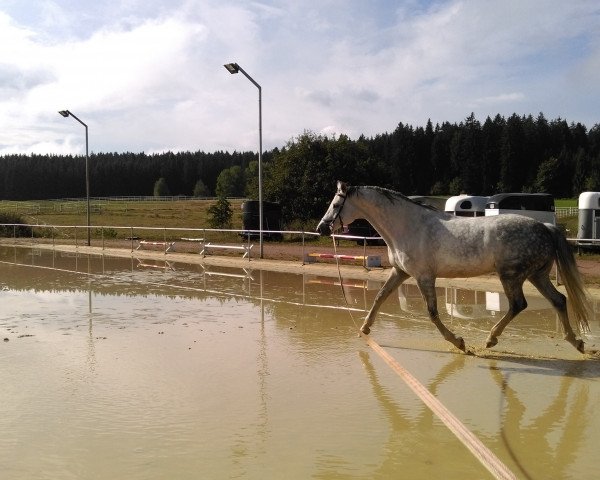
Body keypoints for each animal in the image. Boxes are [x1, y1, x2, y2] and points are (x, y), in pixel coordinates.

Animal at [316, 182, 588, 354]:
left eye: (336, 204)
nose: (321, 228)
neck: (408, 226)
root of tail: (545, 227)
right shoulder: (400, 272)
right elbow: (380, 297)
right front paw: (365, 328)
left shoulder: (424, 277)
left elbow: (433, 313)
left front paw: (458, 342)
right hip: (536, 275)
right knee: (559, 300)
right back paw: (576, 342)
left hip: (511, 276)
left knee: (519, 305)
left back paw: (491, 339)